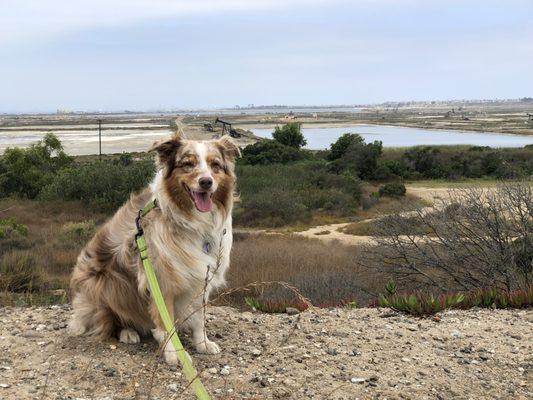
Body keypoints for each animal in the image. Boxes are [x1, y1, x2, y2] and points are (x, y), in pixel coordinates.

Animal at [68, 134, 239, 362]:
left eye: (215, 165)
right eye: (188, 164)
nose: (206, 182)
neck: (190, 221)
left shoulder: (201, 277)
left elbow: (199, 317)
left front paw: (203, 343)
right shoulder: (160, 280)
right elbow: (165, 321)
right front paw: (175, 353)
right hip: (105, 285)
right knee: (108, 320)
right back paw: (127, 332)